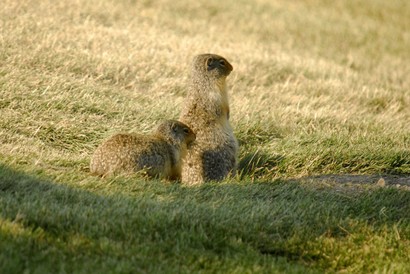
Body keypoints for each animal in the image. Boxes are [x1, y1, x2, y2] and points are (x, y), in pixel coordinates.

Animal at [179, 53, 237, 184]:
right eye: (222, 62)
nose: (232, 68)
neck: (203, 83)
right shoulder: (216, 96)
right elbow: (222, 109)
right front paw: (228, 114)